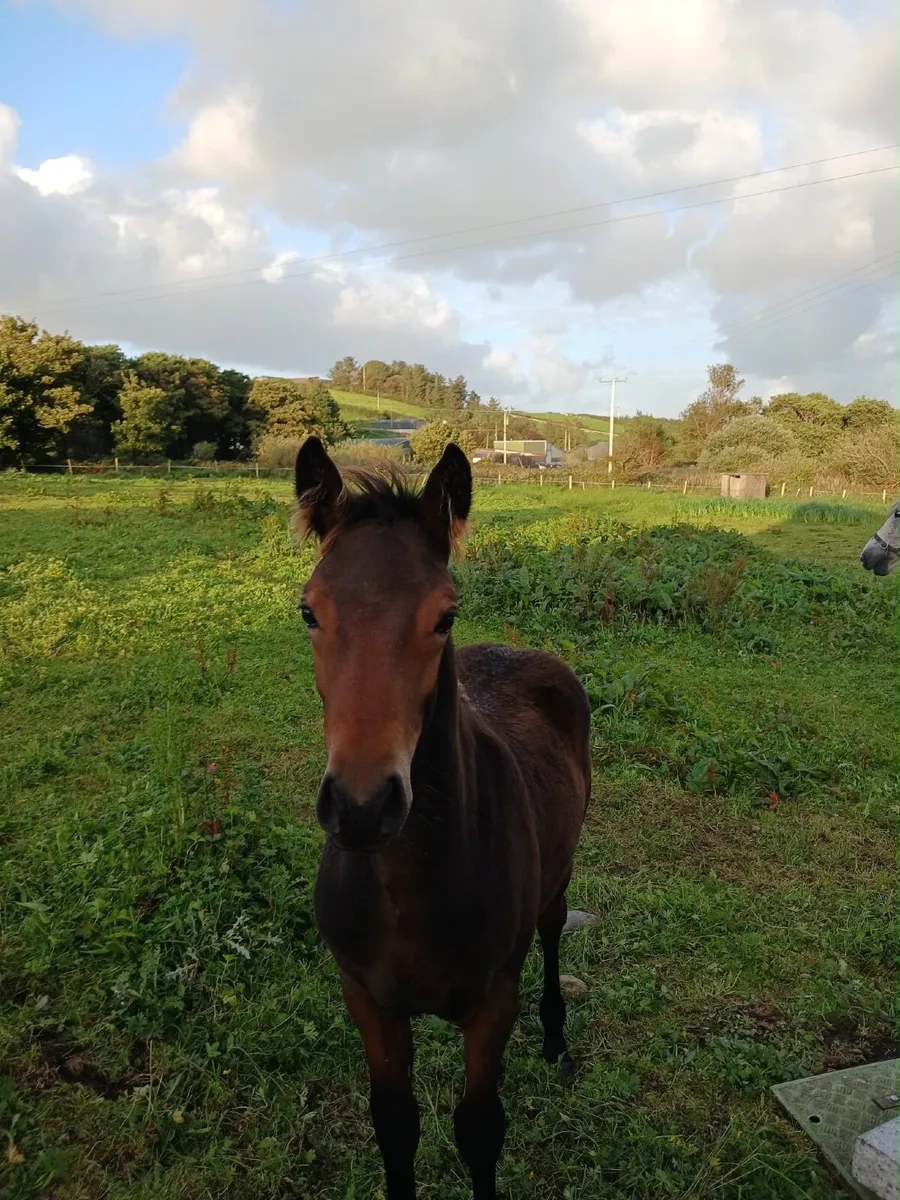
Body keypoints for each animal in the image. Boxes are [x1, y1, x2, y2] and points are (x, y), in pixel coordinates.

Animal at [293, 436, 591, 1200]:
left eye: (444, 616)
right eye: (309, 612)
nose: (363, 806)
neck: (411, 887)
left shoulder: (492, 1004)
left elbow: (480, 1130)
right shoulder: (367, 999)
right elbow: (395, 1125)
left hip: (558, 881)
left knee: (553, 935)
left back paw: (556, 1038)